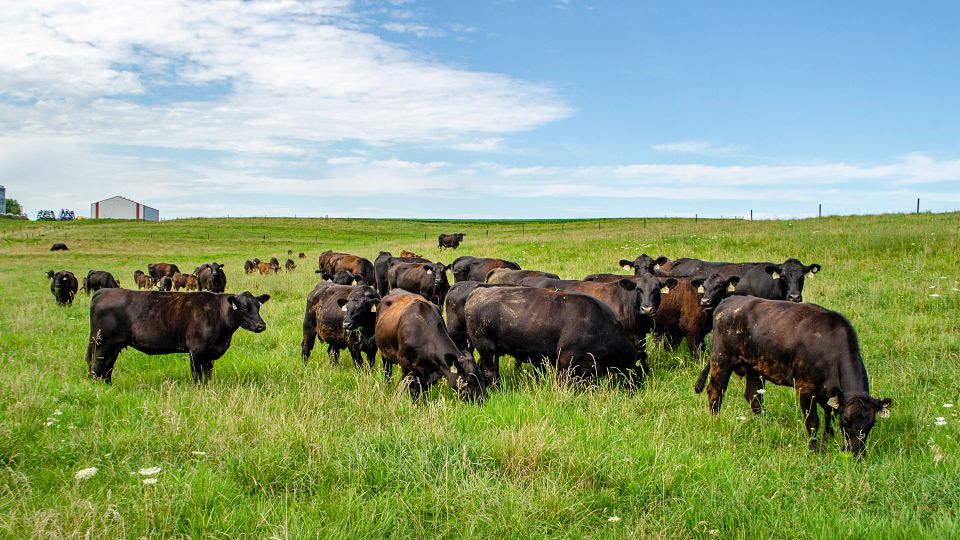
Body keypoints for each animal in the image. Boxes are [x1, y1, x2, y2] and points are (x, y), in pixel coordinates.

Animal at [86, 289, 270, 383]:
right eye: (244, 307)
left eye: (258, 306)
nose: (261, 325)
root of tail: (103, 291)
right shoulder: (196, 351)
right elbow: (197, 375)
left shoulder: (209, 354)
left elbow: (208, 374)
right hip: (101, 343)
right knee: (96, 366)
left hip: (114, 346)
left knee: (107, 367)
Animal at [465, 287, 641, 388]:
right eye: (639, 370)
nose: (640, 387)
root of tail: (477, 292)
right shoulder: (566, 358)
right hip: (487, 348)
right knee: (491, 371)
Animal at [696, 296, 891, 457]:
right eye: (845, 420)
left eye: (872, 422)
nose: (856, 453)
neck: (830, 348)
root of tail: (728, 301)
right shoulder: (805, 388)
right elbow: (812, 421)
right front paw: (813, 449)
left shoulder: (828, 391)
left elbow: (829, 413)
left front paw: (828, 438)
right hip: (721, 359)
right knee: (715, 391)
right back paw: (716, 420)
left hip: (753, 366)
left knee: (753, 396)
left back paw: (762, 422)